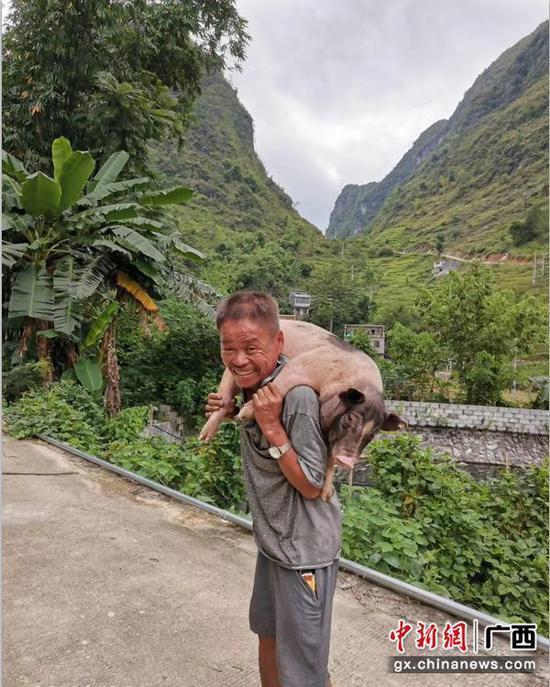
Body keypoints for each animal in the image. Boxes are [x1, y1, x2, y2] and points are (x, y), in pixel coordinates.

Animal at [201, 320, 408, 502]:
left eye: (372, 434)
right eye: (350, 418)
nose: (348, 461)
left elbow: (330, 460)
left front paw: (325, 495)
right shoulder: (301, 366)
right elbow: (279, 384)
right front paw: (243, 414)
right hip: (232, 369)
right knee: (225, 391)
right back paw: (205, 436)